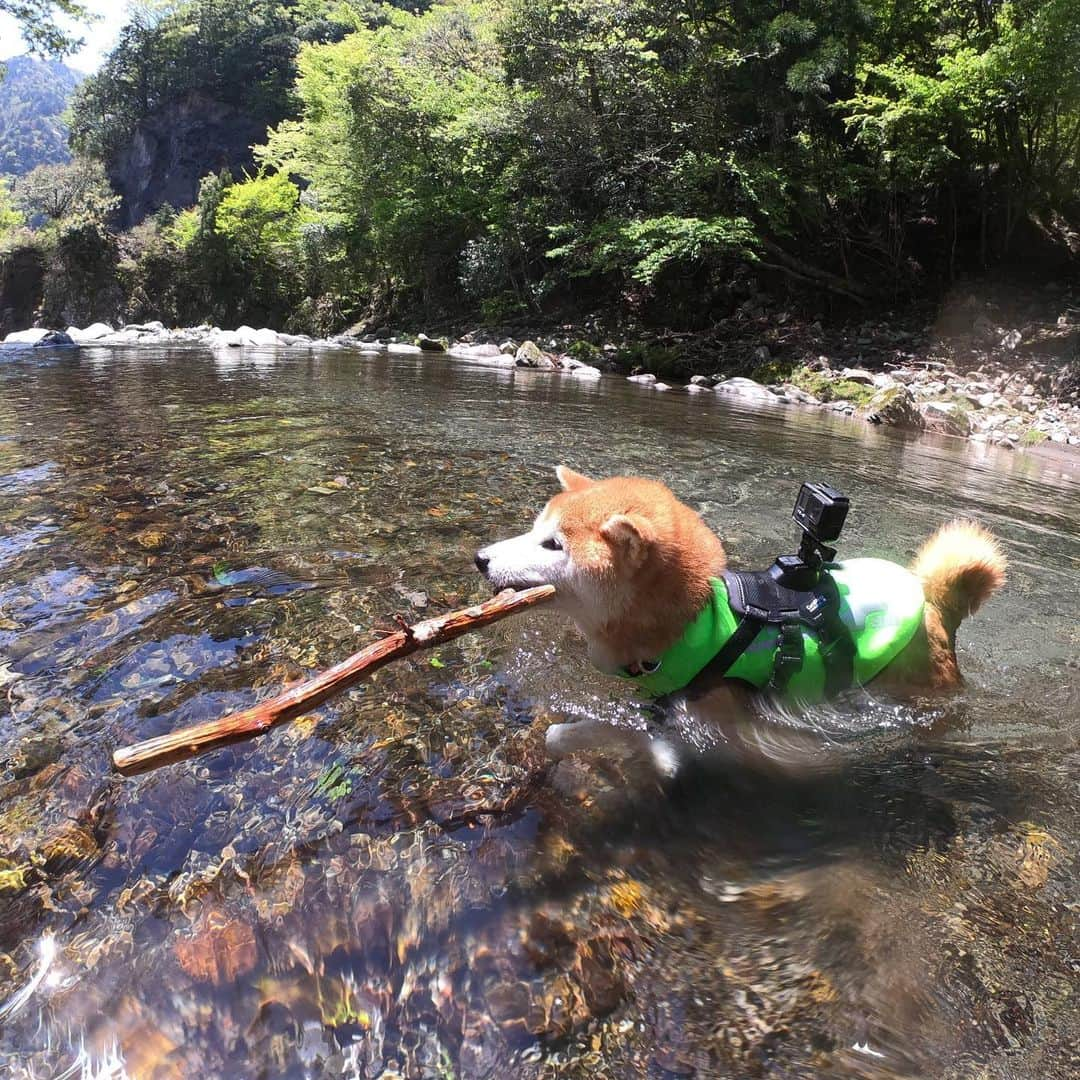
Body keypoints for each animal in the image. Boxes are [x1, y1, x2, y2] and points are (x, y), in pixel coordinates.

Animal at [477, 468, 1006, 773]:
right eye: (535, 529)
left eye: (553, 544)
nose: (480, 558)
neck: (691, 622)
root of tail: (933, 601)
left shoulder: (718, 730)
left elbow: (628, 740)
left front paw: (568, 738)